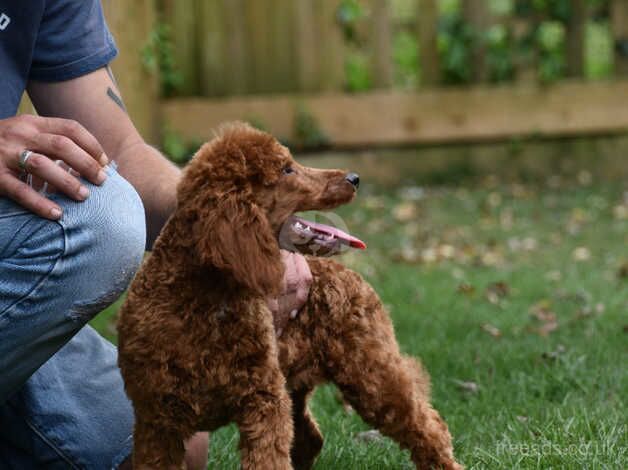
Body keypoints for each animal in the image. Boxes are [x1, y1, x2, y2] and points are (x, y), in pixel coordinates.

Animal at [118, 123, 462, 468]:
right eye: (286, 169)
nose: (354, 178)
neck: (204, 301)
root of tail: (349, 274)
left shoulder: (263, 401)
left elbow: (268, 459)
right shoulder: (157, 423)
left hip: (370, 372)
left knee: (427, 426)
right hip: (297, 385)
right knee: (310, 439)